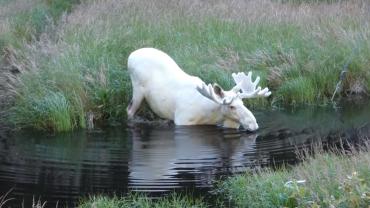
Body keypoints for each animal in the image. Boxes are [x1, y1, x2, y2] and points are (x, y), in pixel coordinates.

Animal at [125, 48, 270, 131]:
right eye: (232, 106)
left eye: (243, 103)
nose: (253, 123)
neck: (210, 115)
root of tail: (131, 55)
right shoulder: (181, 120)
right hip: (137, 89)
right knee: (129, 110)